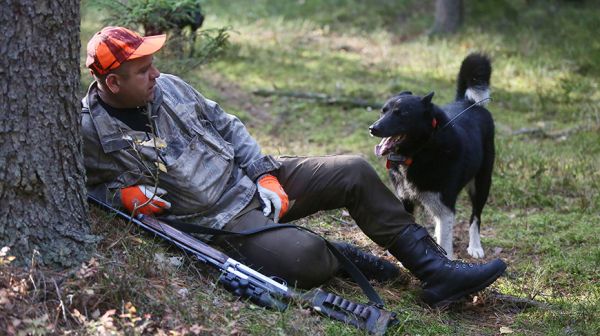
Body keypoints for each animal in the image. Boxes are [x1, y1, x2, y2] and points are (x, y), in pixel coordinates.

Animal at [370, 53, 496, 260]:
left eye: (401, 114)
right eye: (383, 111)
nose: (373, 128)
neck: (420, 151)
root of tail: (469, 103)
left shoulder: (445, 208)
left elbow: (445, 241)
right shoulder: (406, 201)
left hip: (482, 183)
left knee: (475, 217)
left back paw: (475, 246)